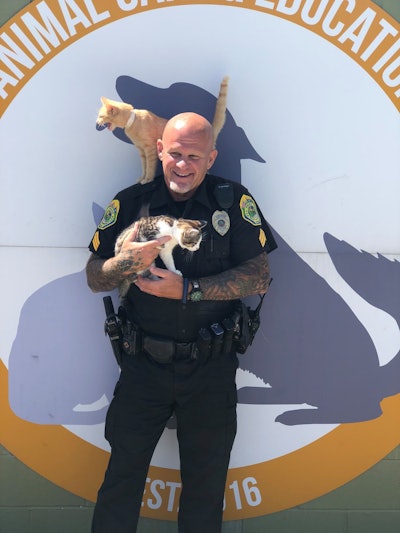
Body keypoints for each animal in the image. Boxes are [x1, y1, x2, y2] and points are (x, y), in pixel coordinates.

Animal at [95, 76, 230, 185]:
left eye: (101, 116)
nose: (96, 122)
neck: (133, 121)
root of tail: (210, 127)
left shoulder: (150, 149)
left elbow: (149, 167)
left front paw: (147, 179)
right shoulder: (141, 151)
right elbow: (144, 166)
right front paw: (142, 178)